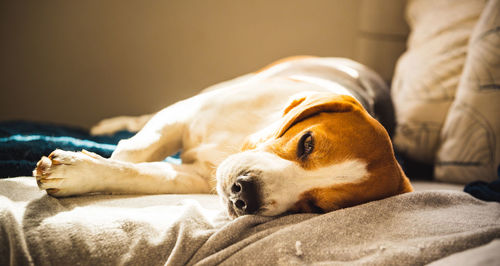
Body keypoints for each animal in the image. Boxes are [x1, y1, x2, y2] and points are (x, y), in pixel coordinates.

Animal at [33, 56, 412, 218]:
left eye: (317, 207)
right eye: (307, 143)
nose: (246, 195)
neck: (241, 137)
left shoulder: (192, 177)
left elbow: (139, 173)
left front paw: (82, 172)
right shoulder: (183, 114)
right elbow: (134, 153)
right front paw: (95, 158)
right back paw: (110, 127)